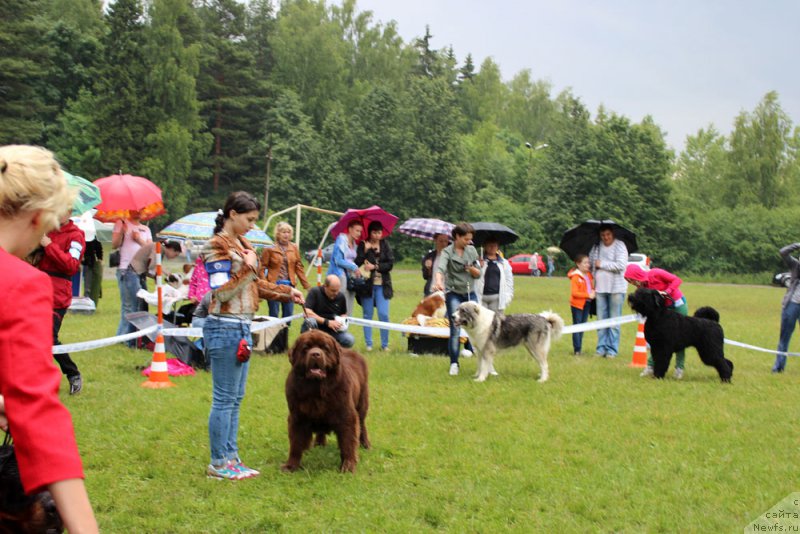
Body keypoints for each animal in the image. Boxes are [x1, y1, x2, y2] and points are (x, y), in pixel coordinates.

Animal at [282, 332, 370, 476]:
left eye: (325, 348)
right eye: (306, 348)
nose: (315, 354)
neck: (316, 388)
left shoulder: (346, 415)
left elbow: (348, 442)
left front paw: (348, 466)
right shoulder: (297, 416)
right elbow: (295, 443)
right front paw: (291, 465)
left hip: (362, 402)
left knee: (362, 424)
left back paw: (365, 444)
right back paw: (319, 443)